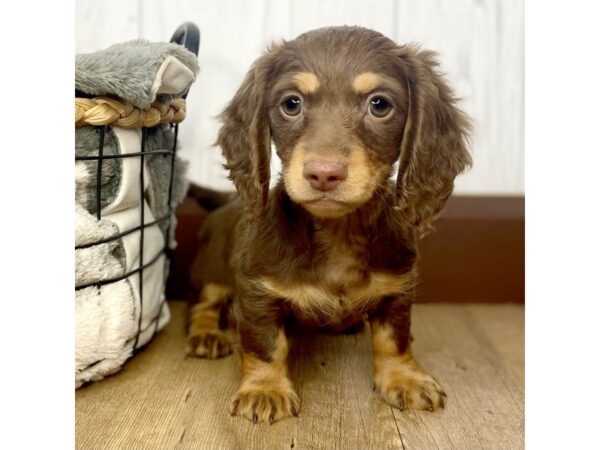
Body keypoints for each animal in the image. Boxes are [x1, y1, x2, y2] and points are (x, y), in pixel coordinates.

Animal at [190, 26, 472, 424]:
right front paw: (265, 389)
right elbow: (265, 343)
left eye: (379, 105)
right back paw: (207, 334)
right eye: (291, 104)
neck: (337, 232)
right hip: (211, 269)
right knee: (202, 304)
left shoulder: (398, 287)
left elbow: (394, 337)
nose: (324, 173)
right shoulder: (256, 290)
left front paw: (405, 377)